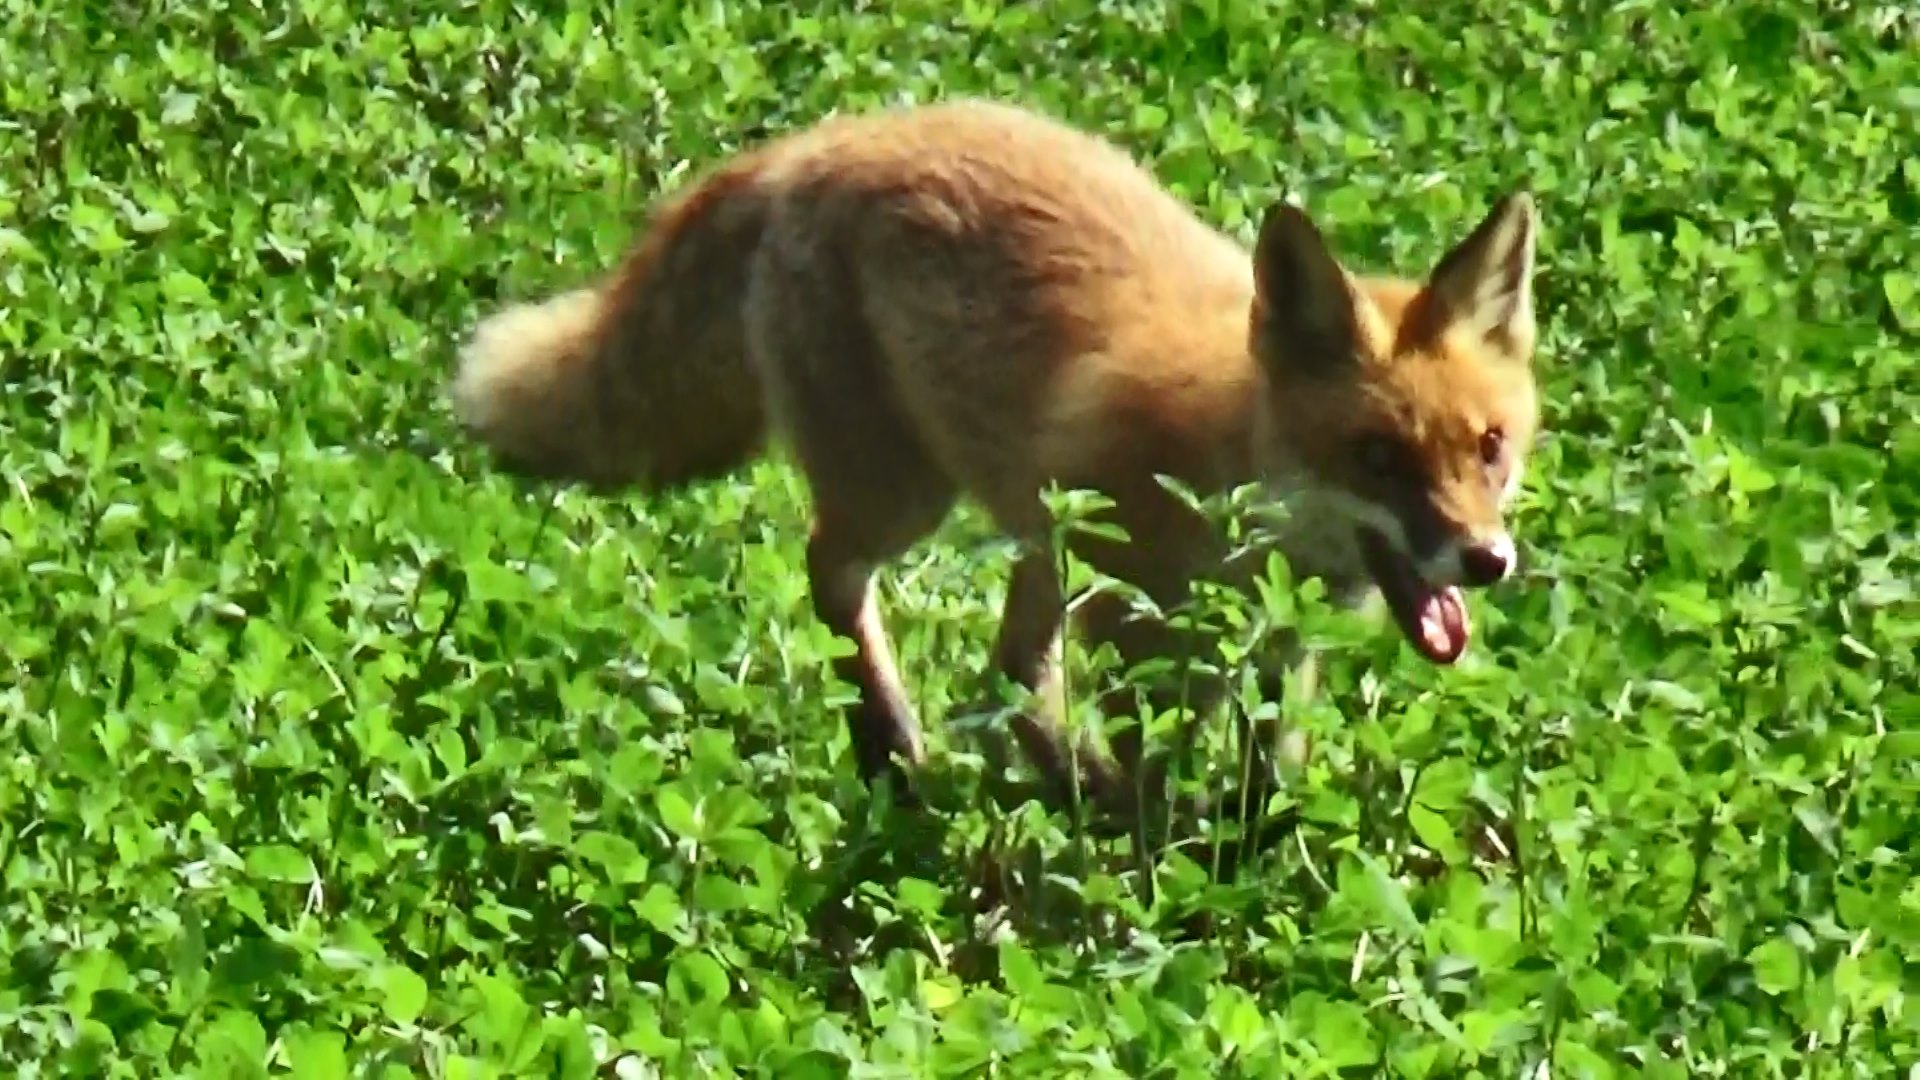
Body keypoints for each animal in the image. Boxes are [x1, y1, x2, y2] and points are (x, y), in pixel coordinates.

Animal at [449, 98, 1541, 825]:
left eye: (1489, 449)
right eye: (1377, 456)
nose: (1486, 561)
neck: (1231, 474)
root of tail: (824, 139)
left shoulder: (1277, 639)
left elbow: (1266, 765)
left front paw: (1252, 850)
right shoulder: (1131, 618)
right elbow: (1163, 761)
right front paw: (1169, 866)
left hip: (1032, 532)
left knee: (1006, 676)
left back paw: (1046, 781)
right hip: (910, 499)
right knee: (841, 579)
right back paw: (902, 754)